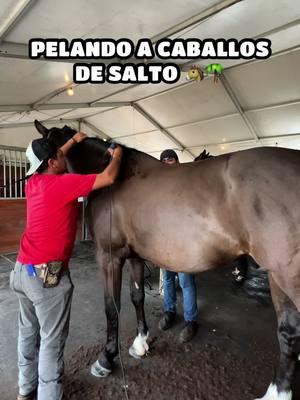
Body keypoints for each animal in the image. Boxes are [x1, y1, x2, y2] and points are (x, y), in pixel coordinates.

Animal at [34, 121, 298, 400]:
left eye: (51, 147)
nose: (34, 180)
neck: (114, 179)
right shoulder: (134, 257)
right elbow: (136, 297)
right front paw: (140, 343)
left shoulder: (109, 257)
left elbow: (111, 306)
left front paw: (105, 359)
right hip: (277, 277)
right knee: (289, 332)